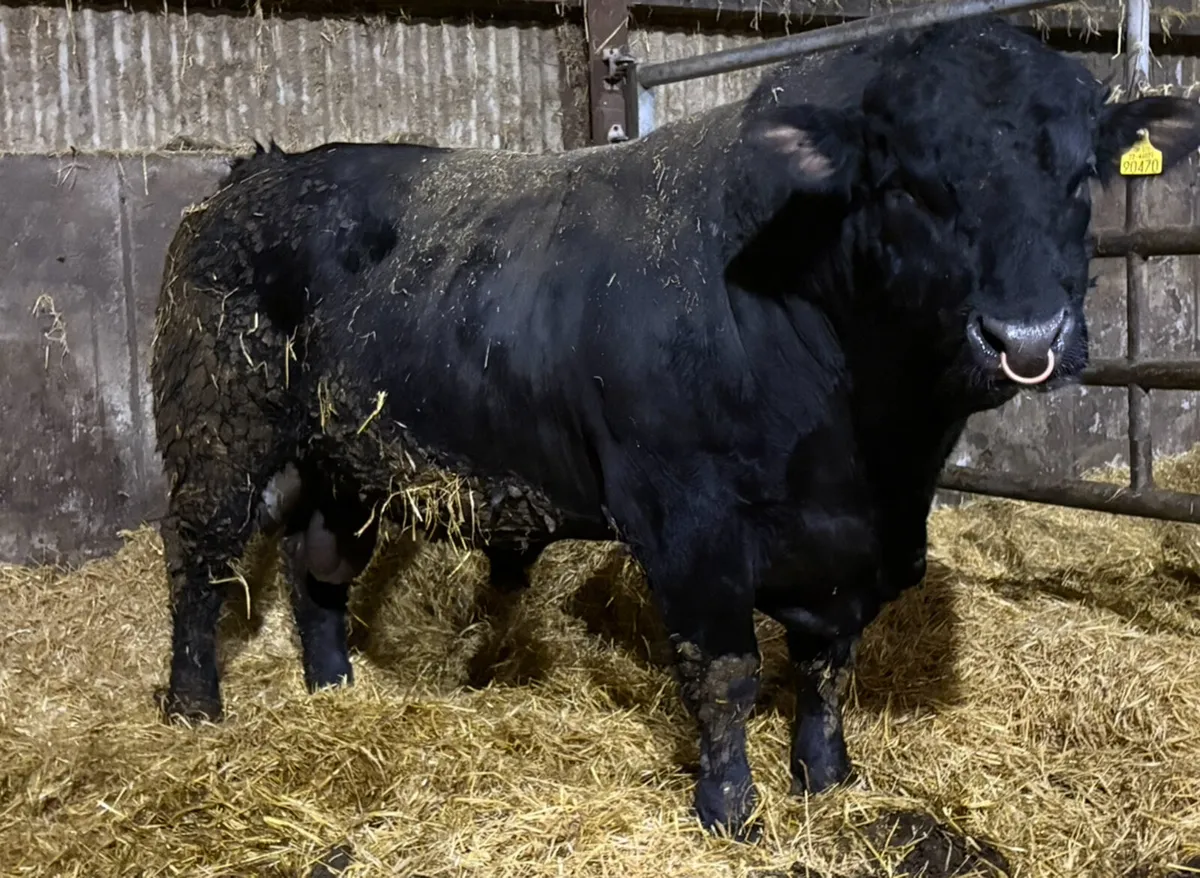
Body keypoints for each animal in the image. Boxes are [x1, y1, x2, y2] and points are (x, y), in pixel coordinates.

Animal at [150, 15, 1200, 840]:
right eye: (905, 184)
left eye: (1082, 178)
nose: (1025, 337)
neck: (871, 448)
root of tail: (256, 173)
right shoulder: (687, 522)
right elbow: (726, 672)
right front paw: (730, 810)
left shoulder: (850, 545)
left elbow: (827, 670)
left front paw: (829, 782)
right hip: (217, 428)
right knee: (198, 561)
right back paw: (194, 707)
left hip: (349, 459)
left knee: (317, 569)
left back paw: (333, 690)